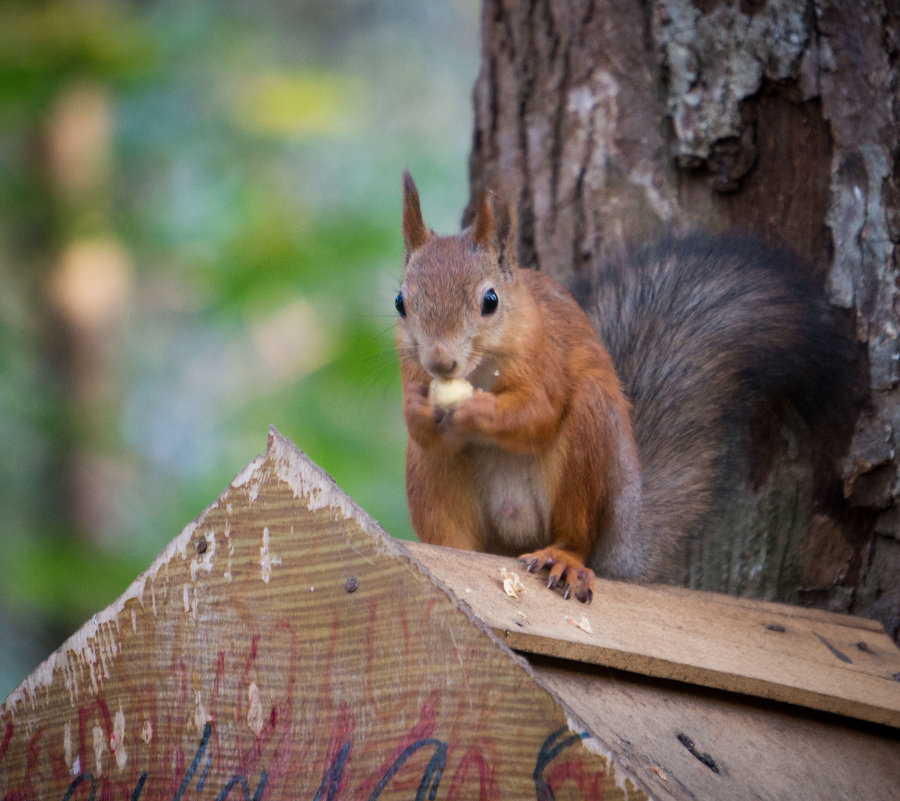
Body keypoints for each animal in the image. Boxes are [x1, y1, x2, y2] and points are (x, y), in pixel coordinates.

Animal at [398, 172, 856, 604]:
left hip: (593, 443)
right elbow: (425, 425)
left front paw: (479, 410)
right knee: (445, 504)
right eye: (401, 302)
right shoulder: (411, 366)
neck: (481, 369)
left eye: (490, 301)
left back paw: (563, 559)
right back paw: (451, 557)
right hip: (433, 481)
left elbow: (538, 414)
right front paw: (419, 408)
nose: (441, 362)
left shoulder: (546, 354)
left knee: (576, 533)